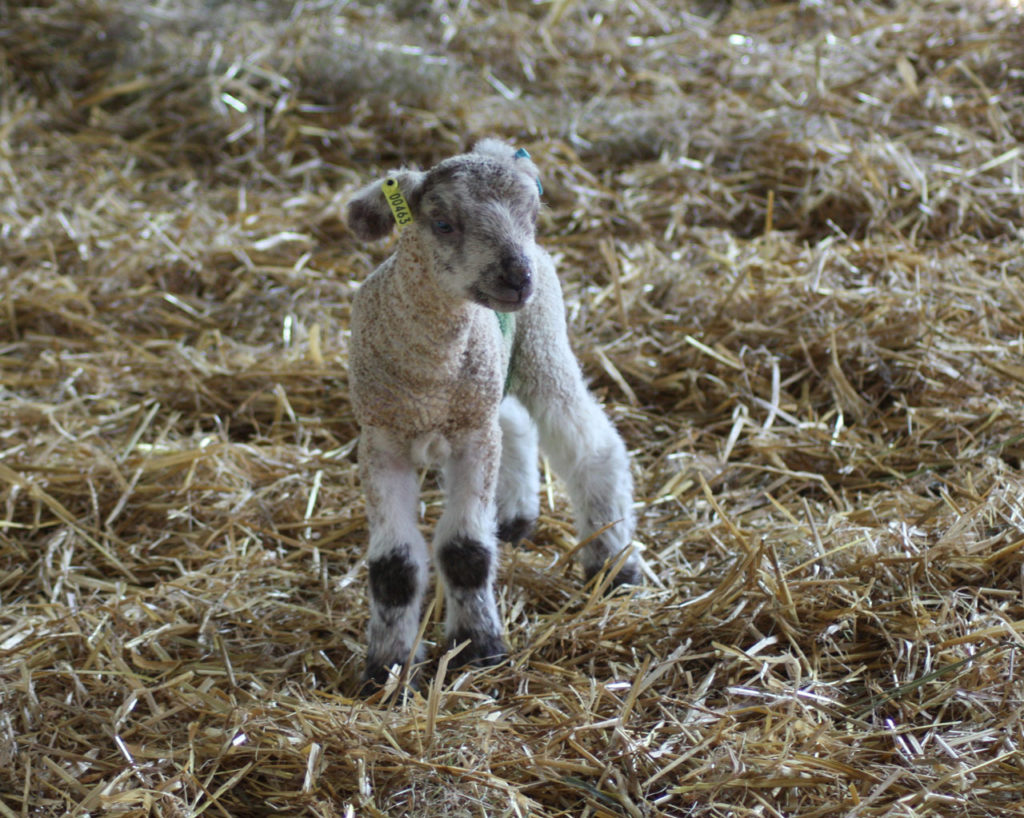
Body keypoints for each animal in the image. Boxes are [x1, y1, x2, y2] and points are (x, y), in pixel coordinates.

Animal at [346, 141, 638, 692]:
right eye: (442, 224)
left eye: (532, 216)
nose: (517, 279)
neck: (430, 381)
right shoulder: (382, 439)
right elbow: (394, 567)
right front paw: (387, 672)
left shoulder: (469, 437)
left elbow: (465, 552)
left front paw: (479, 648)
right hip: (492, 381)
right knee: (517, 424)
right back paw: (514, 519)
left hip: (542, 342)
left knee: (592, 446)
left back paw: (613, 563)